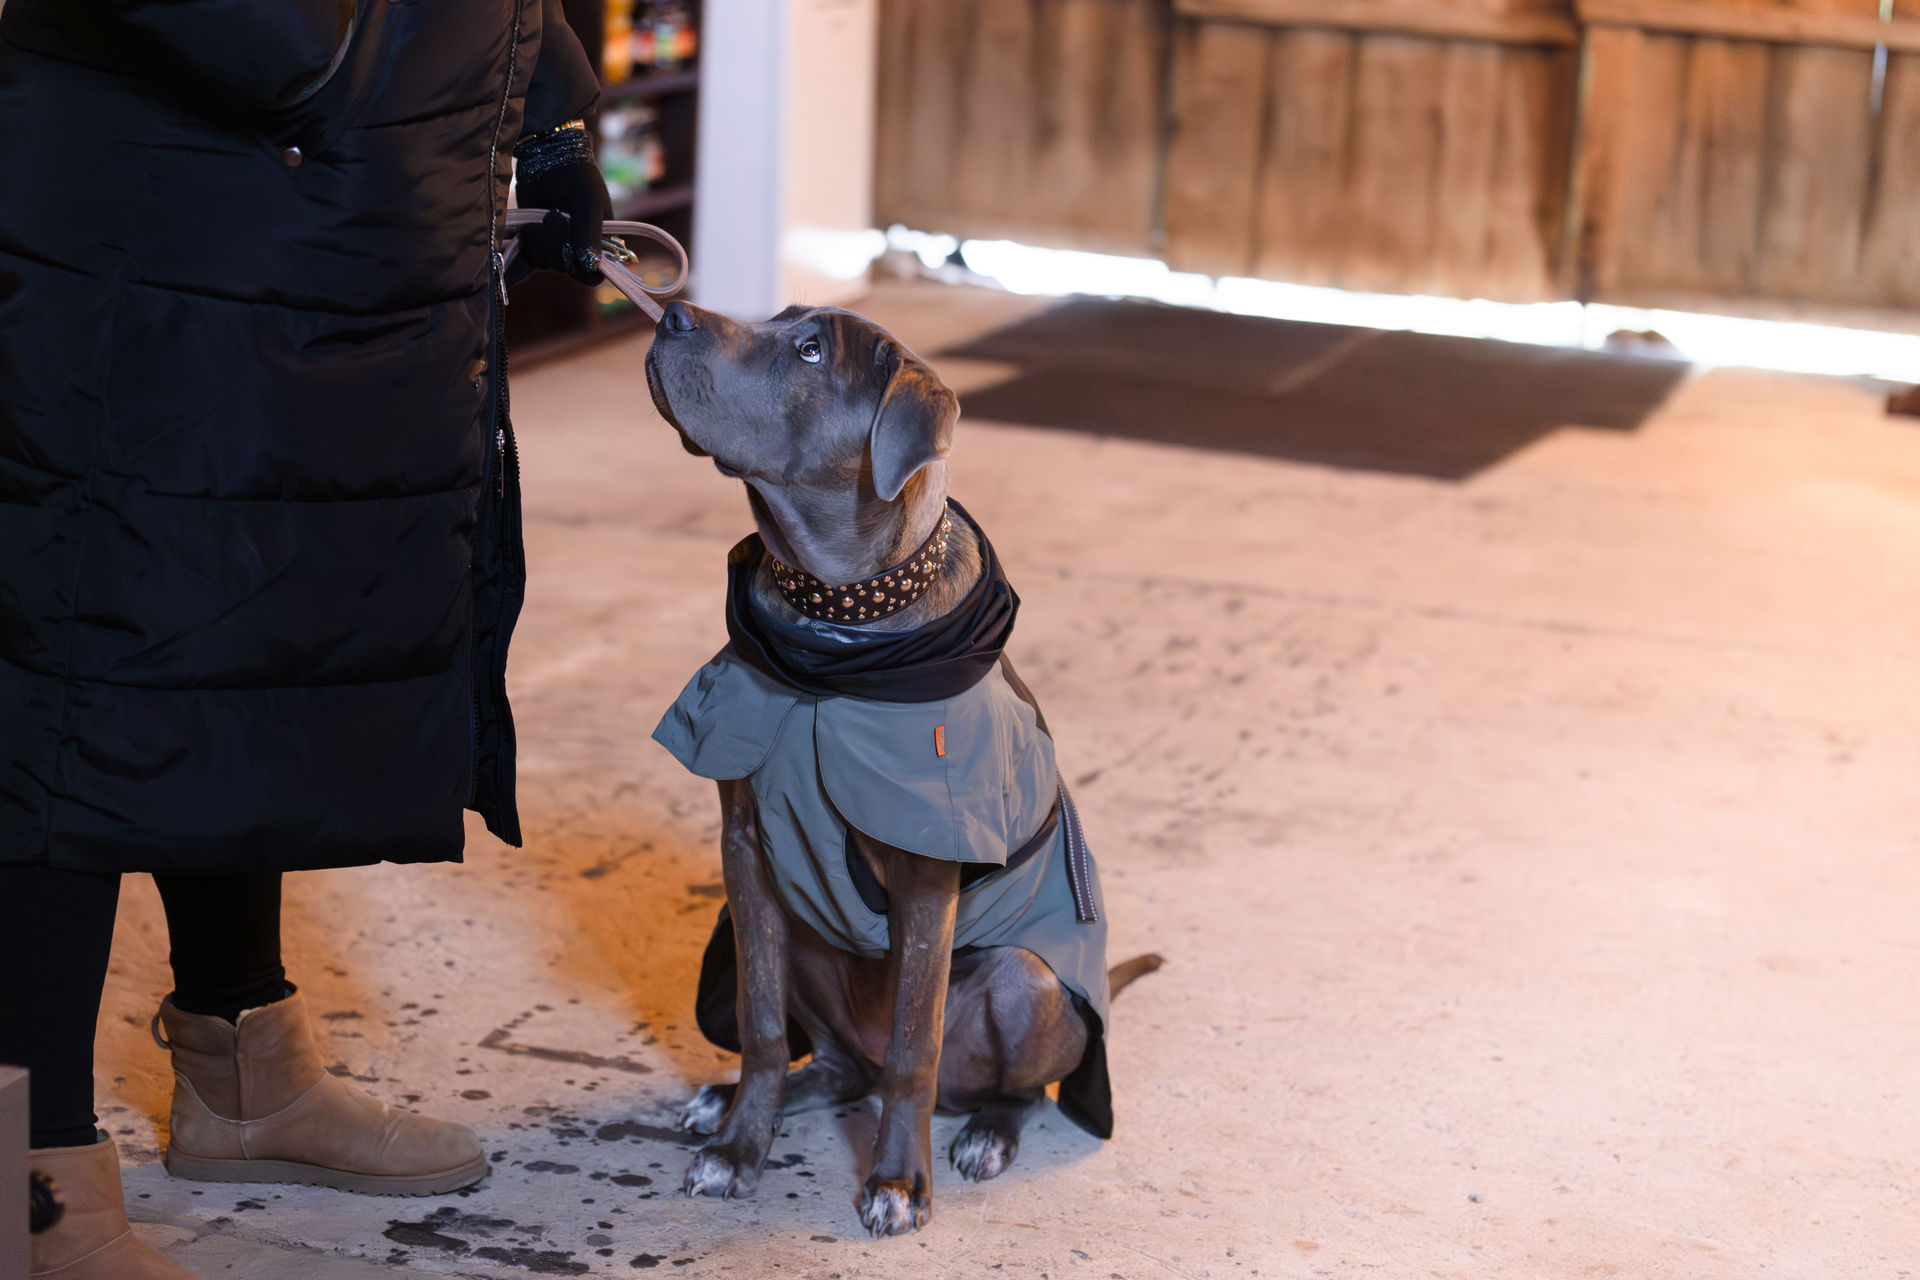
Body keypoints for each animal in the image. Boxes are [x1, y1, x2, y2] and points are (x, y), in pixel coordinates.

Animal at [645, 298, 1160, 1237]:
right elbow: (762, 1026)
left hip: (1028, 981)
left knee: (1007, 1088)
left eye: (811, 350)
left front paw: (895, 1184)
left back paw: (986, 1133)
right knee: (844, 1067)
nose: (670, 313)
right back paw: (732, 1099)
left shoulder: (927, 874)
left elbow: (914, 1048)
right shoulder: (747, 854)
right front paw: (741, 1147)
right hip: (808, 943)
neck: (833, 633)